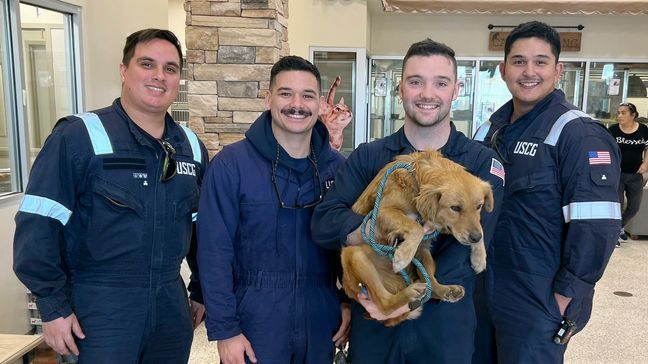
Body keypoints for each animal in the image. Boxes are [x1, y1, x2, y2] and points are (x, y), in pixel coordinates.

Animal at [342, 149, 494, 326]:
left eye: (479, 206)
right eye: (455, 208)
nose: (475, 238)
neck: (417, 180)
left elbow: (480, 226)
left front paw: (479, 257)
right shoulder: (382, 211)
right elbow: (416, 228)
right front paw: (402, 256)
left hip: (424, 254)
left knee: (431, 286)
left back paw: (446, 290)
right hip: (354, 254)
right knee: (384, 304)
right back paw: (410, 292)